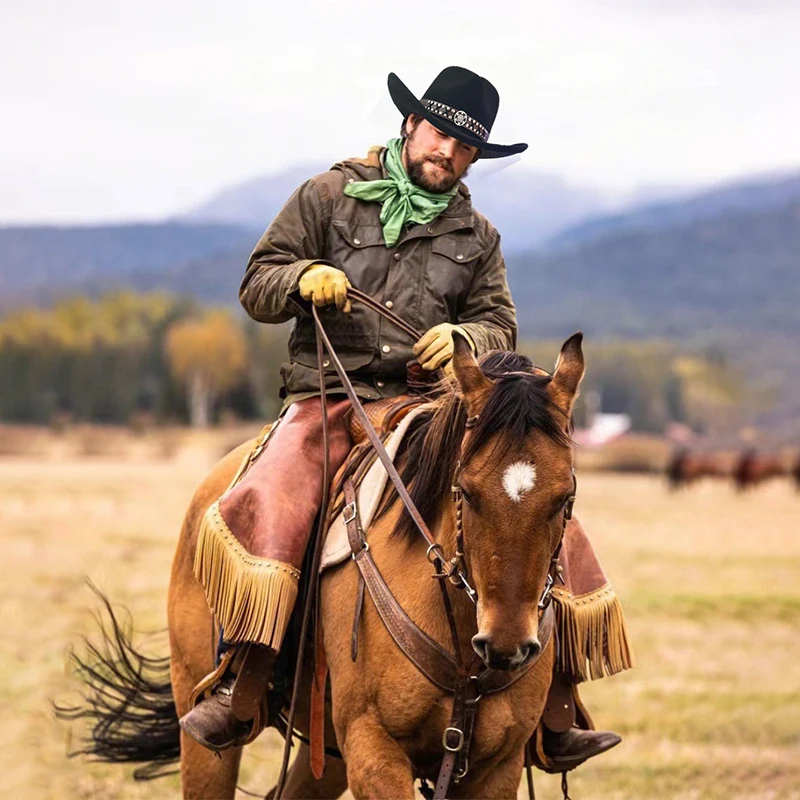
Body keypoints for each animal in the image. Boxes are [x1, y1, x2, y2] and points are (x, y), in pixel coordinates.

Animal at [59, 328, 588, 796]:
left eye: (565, 498)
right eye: (466, 491)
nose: (506, 645)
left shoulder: (495, 766)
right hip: (206, 724)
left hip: (327, 755)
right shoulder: (373, 751)